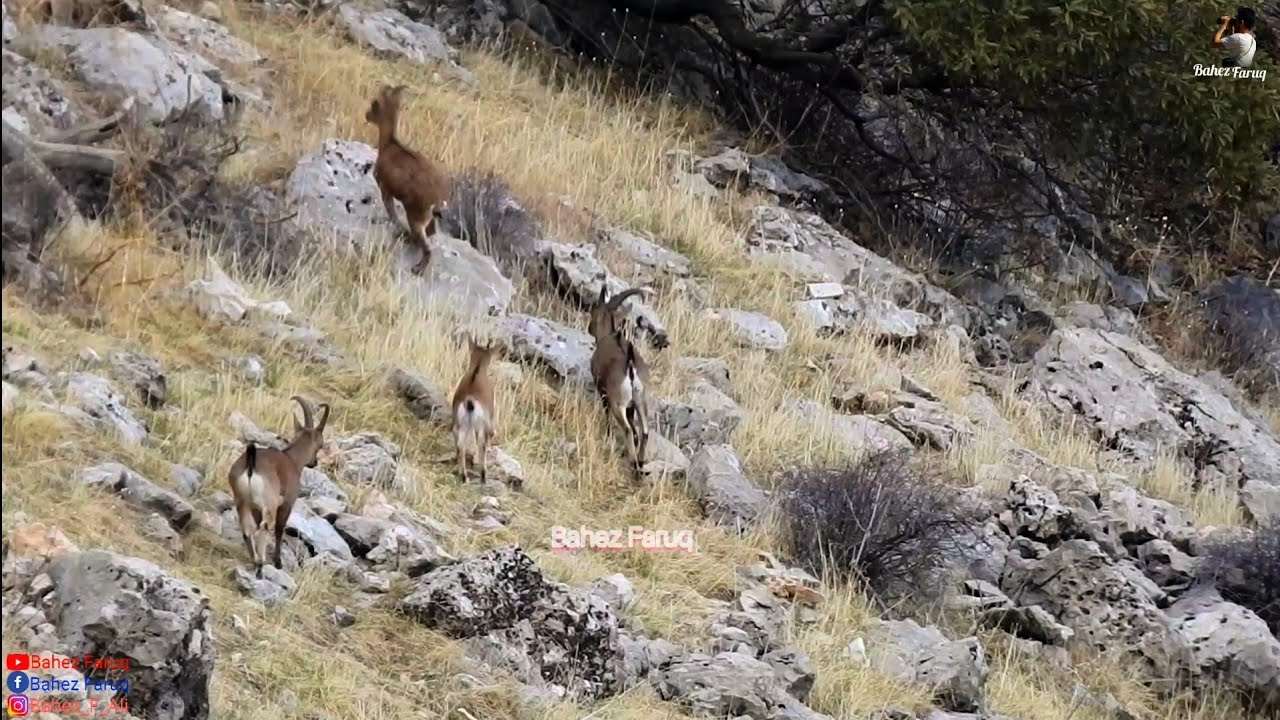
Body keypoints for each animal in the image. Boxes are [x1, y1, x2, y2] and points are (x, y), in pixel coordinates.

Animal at [227, 396, 330, 577]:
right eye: (320, 444)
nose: (314, 462)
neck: (292, 460)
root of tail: (251, 465)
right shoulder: (287, 503)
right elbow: (279, 529)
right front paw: (278, 562)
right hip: (269, 503)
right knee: (265, 526)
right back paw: (260, 565)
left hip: (242, 501)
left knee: (247, 529)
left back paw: (254, 559)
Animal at [364, 84, 451, 276]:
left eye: (375, 104)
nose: (366, 115)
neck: (389, 145)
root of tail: (438, 199)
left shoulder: (385, 187)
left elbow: (391, 213)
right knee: (431, 232)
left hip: (416, 216)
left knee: (427, 246)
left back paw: (417, 267)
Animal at [450, 337, 498, 484]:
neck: (477, 370)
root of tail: (469, 402)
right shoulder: (488, 420)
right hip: (480, 423)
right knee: (481, 443)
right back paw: (483, 475)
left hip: (460, 423)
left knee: (460, 444)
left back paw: (464, 476)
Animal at [588, 281, 652, 476]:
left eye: (594, 310)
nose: (589, 327)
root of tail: (630, 364)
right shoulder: (631, 405)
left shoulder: (604, 393)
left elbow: (607, 416)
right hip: (641, 399)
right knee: (644, 430)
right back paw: (640, 462)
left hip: (619, 403)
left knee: (627, 429)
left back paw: (634, 464)